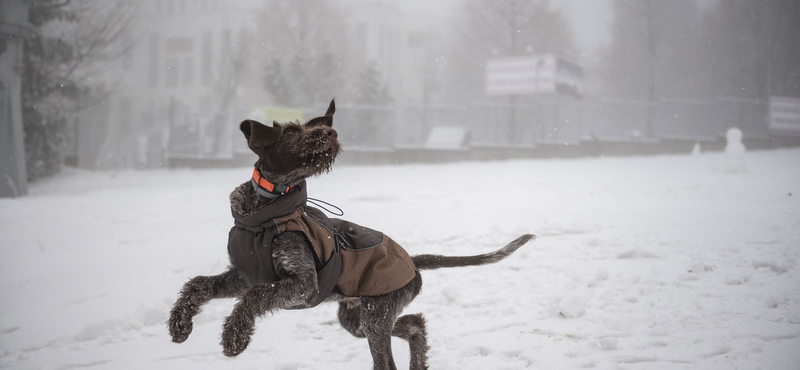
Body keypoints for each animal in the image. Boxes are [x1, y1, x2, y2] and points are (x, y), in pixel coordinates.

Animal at [166, 99, 536, 370]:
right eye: (291, 131)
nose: (330, 132)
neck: (264, 211)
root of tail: (412, 262)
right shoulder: (244, 273)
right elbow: (198, 284)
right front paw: (180, 324)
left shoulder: (302, 283)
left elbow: (255, 298)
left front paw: (235, 337)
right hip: (357, 317)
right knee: (414, 323)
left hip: (375, 317)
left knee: (388, 361)